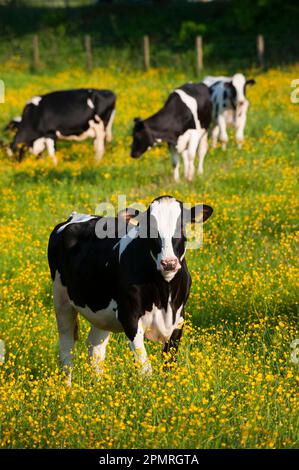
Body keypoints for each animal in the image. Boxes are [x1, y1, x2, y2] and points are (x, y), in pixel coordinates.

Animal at [48, 196, 214, 384]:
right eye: (150, 228)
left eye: (182, 226)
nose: (169, 263)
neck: (165, 293)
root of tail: (75, 216)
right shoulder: (130, 318)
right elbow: (145, 368)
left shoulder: (178, 320)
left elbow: (169, 366)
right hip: (61, 299)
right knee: (66, 346)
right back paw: (67, 387)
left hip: (101, 312)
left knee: (95, 348)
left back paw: (98, 386)